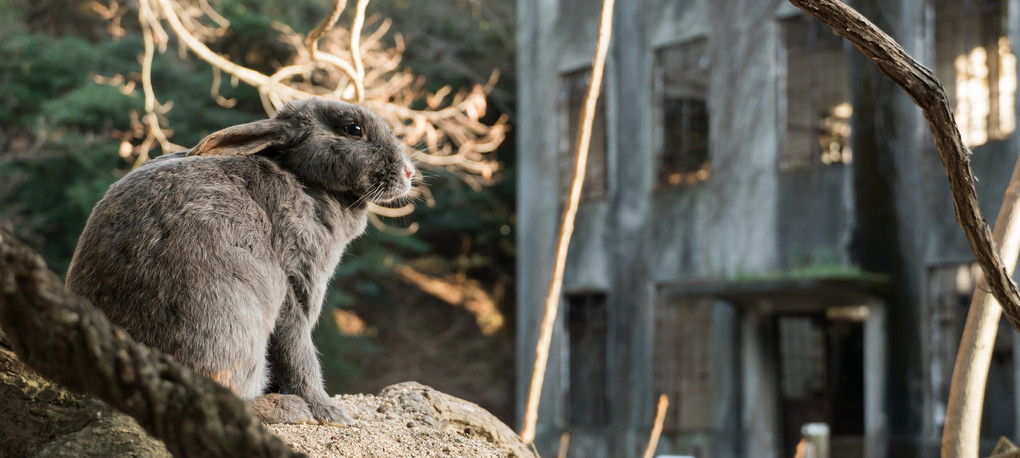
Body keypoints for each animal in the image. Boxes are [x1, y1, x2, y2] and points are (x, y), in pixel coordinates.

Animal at [64, 97, 414, 424]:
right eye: (353, 129)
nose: (409, 172)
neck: (304, 179)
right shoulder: (296, 283)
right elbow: (298, 352)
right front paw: (330, 412)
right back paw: (289, 408)